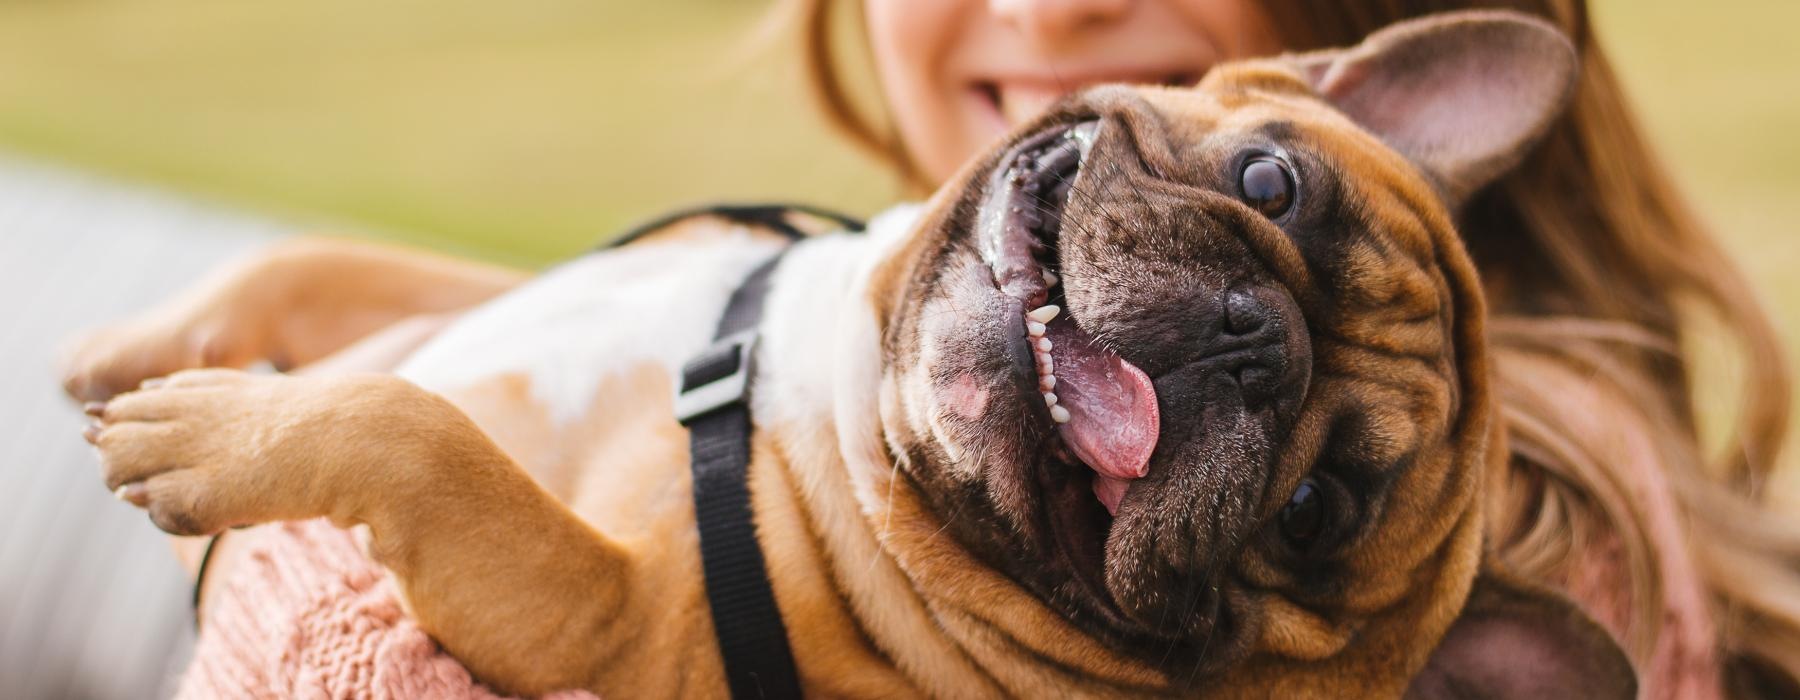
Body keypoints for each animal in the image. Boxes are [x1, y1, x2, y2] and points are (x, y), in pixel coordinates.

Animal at [59, 10, 1634, 698]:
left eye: (1312, 513)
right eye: (1270, 184)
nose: (1254, 344)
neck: (828, 386)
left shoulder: (608, 626)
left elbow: (420, 435)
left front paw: (209, 435)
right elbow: (325, 264)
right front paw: (131, 346)